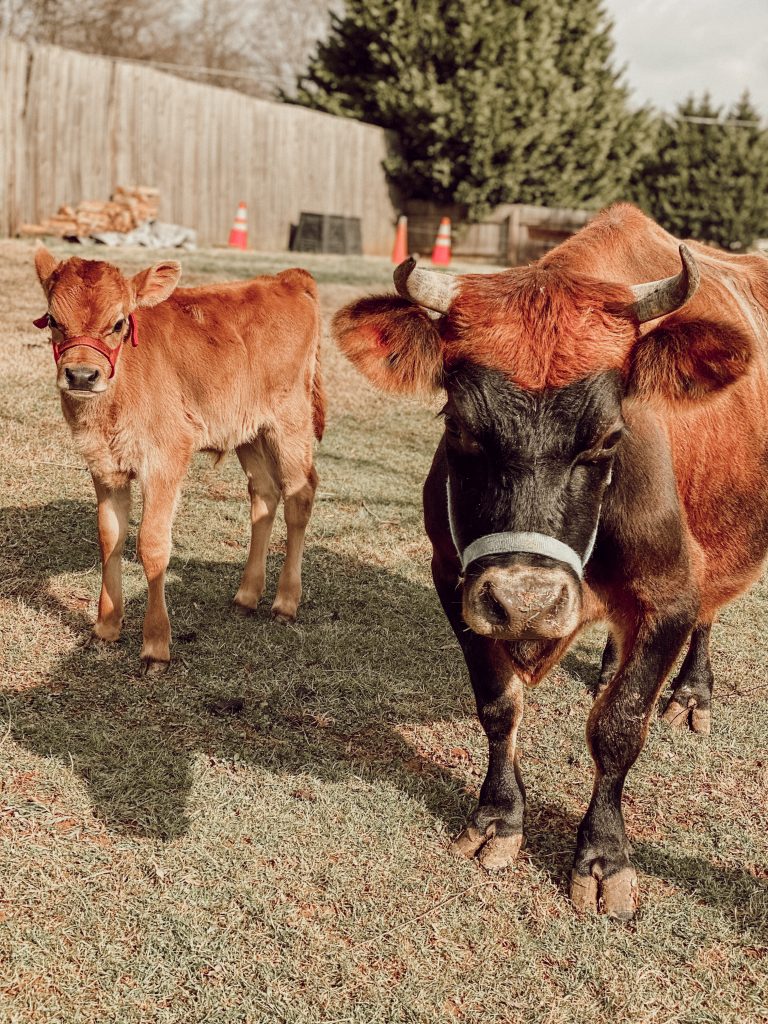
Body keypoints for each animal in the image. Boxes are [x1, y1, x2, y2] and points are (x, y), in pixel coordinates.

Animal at [33, 247, 323, 674]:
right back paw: (246, 595)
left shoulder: (165, 458)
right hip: (248, 431)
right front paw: (106, 627)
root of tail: (286, 278)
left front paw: (155, 645)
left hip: (291, 423)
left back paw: (285, 602)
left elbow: (153, 545)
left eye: (119, 323)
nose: (82, 375)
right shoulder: (104, 465)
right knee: (264, 494)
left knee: (299, 495)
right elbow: (109, 537)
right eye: (54, 320)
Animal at [332, 204, 768, 919]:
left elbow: (619, 727)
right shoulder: (455, 580)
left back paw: (691, 694)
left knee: (710, 612)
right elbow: (497, 706)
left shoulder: (670, 593)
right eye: (458, 427)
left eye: (610, 437)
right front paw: (498, 820)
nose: (526, 602)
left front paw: (603, 856)